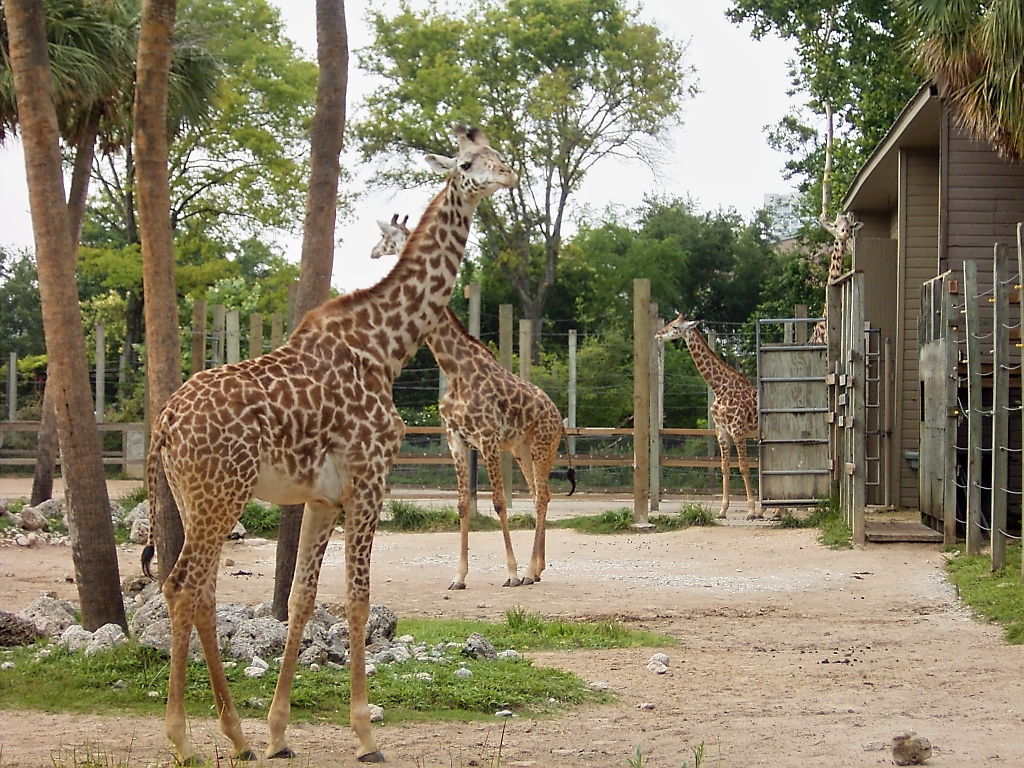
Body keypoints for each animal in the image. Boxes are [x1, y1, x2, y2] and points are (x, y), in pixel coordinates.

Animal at [142, 124, 520, 765]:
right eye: (468, 162)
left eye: (494, 152)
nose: (509, 173)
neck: (385, 346)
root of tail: (165, 420)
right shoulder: (370, 480)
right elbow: (358, 600)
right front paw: (366, 734)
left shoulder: (322, 499)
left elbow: (301, 600)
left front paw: (277, 733)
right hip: (221, 495)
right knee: (181, 587)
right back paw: (182, 739)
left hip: (195, 499)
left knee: (203, 593)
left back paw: (237, 736)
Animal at [368, 214, 577, 585]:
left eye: (385, 237)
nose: (373, 252)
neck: (454, 369)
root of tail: (558, 416)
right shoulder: (457, 439)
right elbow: (463, 504)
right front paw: (460, 576)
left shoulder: (488, 439)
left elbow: (498, 502)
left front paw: (510, 572)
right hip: (522, 449)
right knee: (540, 494)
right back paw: (536, 569)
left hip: (542, 446)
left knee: (541, 498)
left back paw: (527, 571)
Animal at [655, 315, 761, 520]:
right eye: (669, 323)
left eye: (675, 327)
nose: (658, 334)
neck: (719, 388)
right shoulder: (722, 432)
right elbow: (725, 468)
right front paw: (722, 510)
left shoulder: (738, 430)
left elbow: (743, 467)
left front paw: (751, 511)